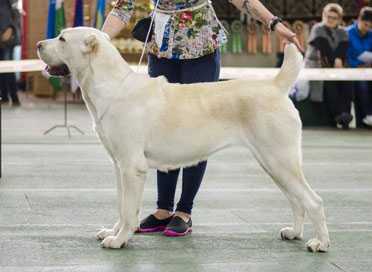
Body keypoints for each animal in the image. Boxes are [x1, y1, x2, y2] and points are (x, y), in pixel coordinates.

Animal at [36, 26, 330, 252]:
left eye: (62, 39)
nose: (38, 44)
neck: (110, 85)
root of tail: (275, 85)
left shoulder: (132, 167)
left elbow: (128, 209)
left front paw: (119, 240)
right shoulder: (119, 166)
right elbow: (121, 205)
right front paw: (113, 231)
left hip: (280, 160)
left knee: (313, 201)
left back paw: (320, 243)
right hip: (272, 164)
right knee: (297, 201)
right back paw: (293, 232)